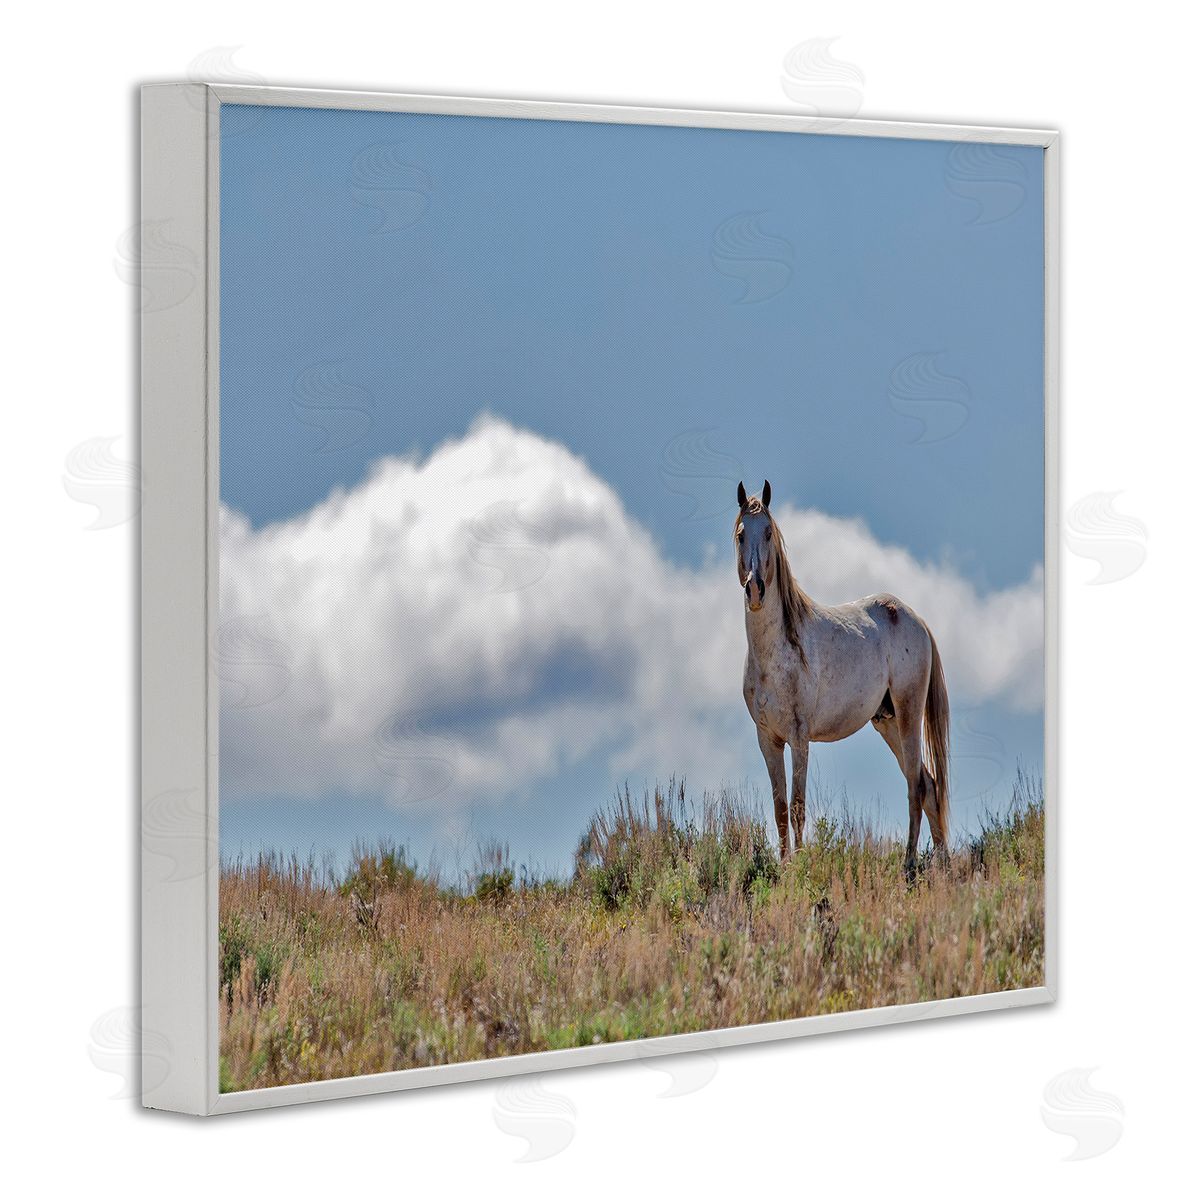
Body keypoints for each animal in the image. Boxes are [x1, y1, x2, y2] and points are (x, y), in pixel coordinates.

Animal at [733, 481, 950, 882]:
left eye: (768, 533)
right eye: (741, 534)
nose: (755, 590)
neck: (775, 653)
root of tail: (915, 619)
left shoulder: (799, 738)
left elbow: (798, 805)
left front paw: (798, 866)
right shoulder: (768, 739)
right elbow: (780, 807)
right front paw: (783, 867)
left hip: (909, 717)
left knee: (915, 786)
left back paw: (909, 864)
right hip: (887, 723)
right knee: (928, 785)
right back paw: (942, 864)